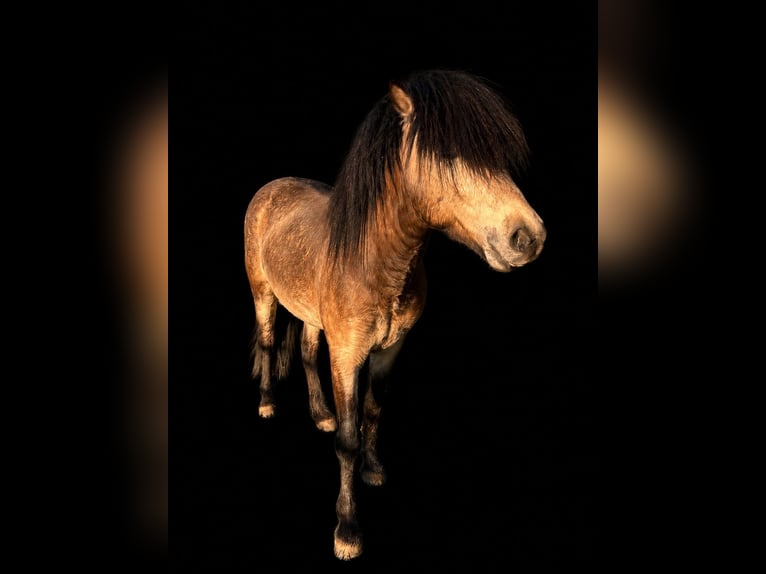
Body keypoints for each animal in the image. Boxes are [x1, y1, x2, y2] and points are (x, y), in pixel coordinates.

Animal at [244, 69, 546, 560]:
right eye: (447, 154)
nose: (529, 237)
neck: (375, 264)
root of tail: (271, 187)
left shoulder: (390, 350)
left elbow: (372, 411)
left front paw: (373, 470)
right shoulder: (346, 356)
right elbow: (347, 440)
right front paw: (347, 531)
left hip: (309, 312)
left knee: (306, 351)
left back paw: (320, 414)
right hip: (263, 294)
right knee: (270, 342)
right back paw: (268, 404)